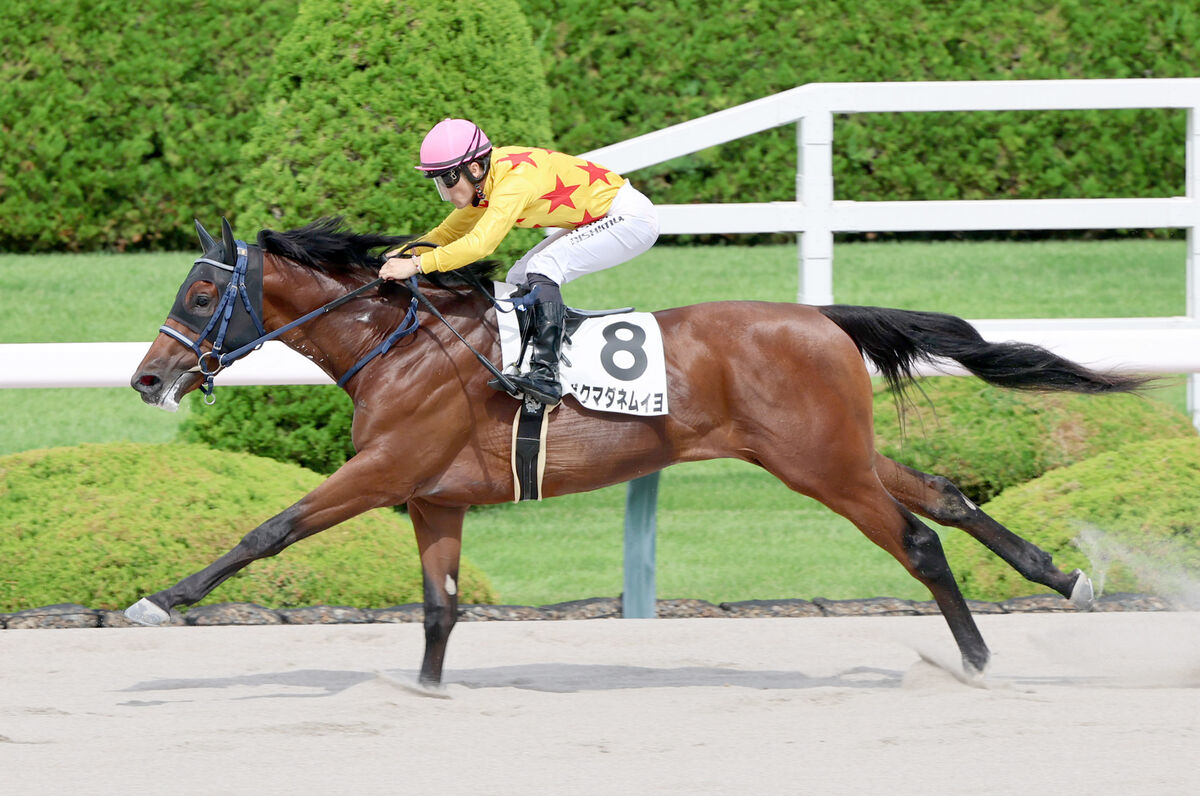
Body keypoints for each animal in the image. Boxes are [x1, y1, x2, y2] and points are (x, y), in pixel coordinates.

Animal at [126, 216, 1148, 689]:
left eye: (196, 296)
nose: (146, 378)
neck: (402, 344)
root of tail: (820, 317)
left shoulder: (382, 472)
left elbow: (270, 529)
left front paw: (158, 600)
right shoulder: (434, 496)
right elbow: (440, 607)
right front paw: (423, 694)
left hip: (822, 466)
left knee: (919, 539)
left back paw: (977, 657)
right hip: (836, 453)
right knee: (945, 496)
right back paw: (1067, 580)